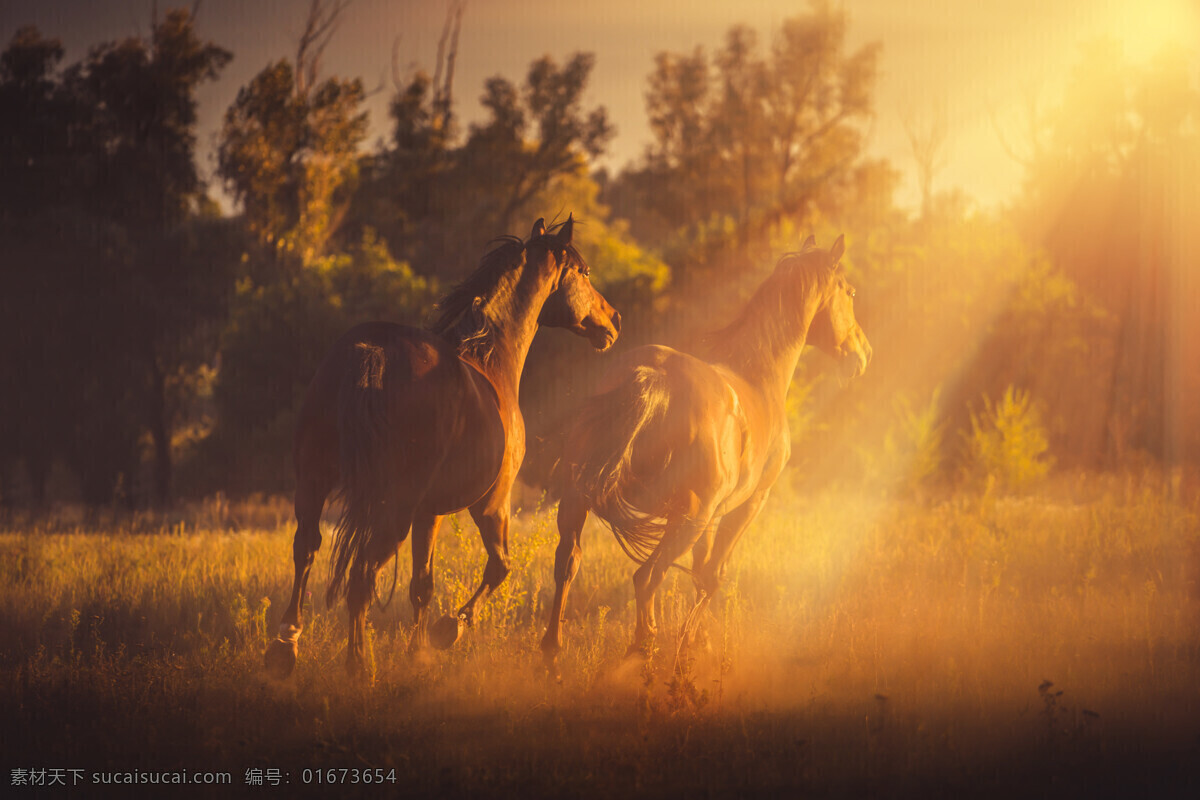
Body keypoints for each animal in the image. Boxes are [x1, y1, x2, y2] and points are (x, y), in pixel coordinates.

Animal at [262, 217, 619, 676]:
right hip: (392, 510)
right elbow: (499, 567)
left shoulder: (427, 513)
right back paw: (359, 665)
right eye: (584, 272)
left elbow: (422, 585)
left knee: (306, 551)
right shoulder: (491, 504)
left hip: (314, 484)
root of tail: (370, 351)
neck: (489, 359)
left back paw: (285, 647)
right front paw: (449, 630)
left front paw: (418, 653)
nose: (613, 320)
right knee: (361, 575)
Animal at [544, 236, 873, 671]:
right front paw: (689, 649)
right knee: (646, 578)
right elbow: (713, 575)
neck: (758, 376)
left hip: (579, 499)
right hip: (686, 520)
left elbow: (700, 573)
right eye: (849, 292)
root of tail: (654, 375)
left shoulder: (715, 514)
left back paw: (552, 656)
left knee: (568, 563)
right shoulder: (748, 505)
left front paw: (697, 644)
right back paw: (641, 654)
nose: (863, 354)